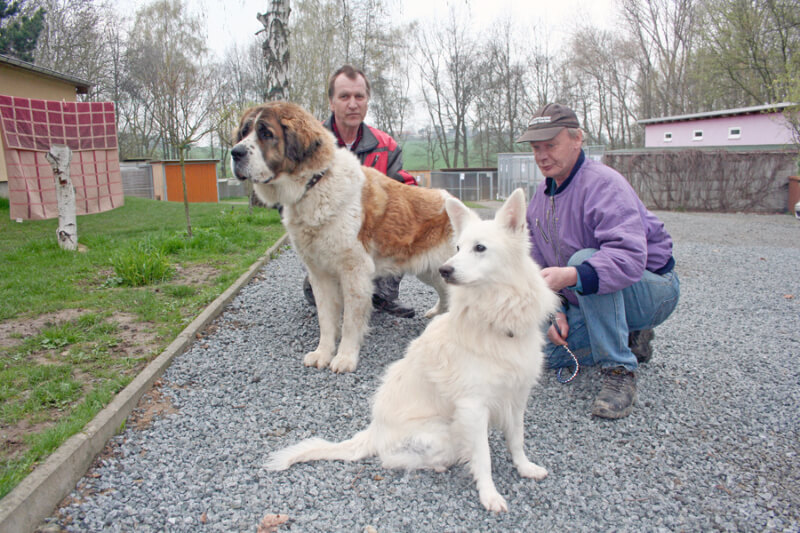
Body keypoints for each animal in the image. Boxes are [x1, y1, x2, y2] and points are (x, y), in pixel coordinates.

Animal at [231, 102, 456, 372]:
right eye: (244, 132)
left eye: (266, 133)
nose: (235, 152)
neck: (316, 184)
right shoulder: (320, 274)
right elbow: (326, 320)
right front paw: (322, 353)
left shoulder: (354, 272)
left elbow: (350, 321)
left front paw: (346, 357)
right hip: (431, 271)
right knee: (445, 294)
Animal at [266, 189, 560, 510]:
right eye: (458, 247)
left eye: (480, 248)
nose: (445, 270)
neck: (497, 318)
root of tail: (375, 430)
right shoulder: (473, 408)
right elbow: (483, 458)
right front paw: (490, 495)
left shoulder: (517, 398)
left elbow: (517, 440)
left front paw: (525, 468)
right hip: (445, 431)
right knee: (390, 459)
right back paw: (437, 465)